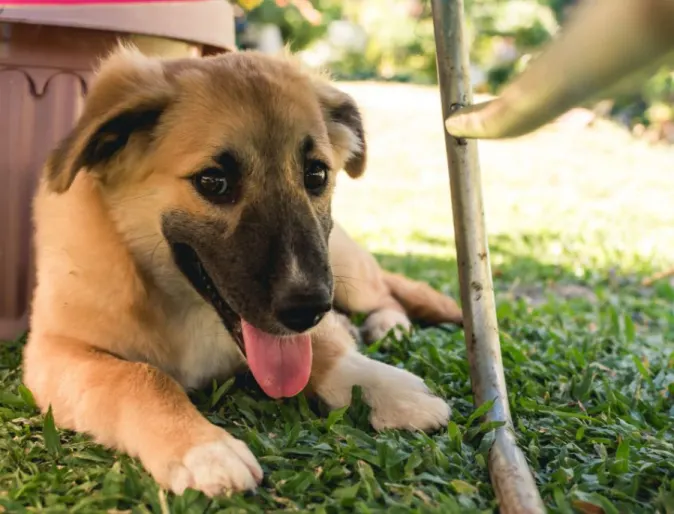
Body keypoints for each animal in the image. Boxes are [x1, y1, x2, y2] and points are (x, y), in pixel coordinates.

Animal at [22, 47, 462, 496]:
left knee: (385, 293)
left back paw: (388, 326)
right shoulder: (55, 350)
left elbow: (320, 350)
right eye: (213, 181)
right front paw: (202, 448)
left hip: (343, 266)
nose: (307, 309)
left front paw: (385, 387)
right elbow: (138, 377)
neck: (180, 304)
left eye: (316, 174)